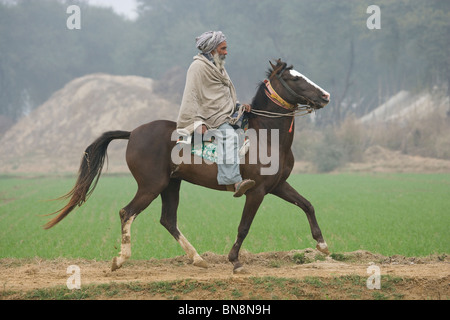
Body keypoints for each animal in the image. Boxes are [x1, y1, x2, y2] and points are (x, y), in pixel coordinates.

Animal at [44, 58, 330, 272]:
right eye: (295, 78)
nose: (325, 95)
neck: (266, 135)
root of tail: (133, 132)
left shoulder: (278, 185)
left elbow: (307, 205)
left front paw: (323, 245)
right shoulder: (256, 190)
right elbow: (244, 226)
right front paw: (235, 260)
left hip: (171, 184)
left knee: (168, 220)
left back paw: (197, 258)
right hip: (152, 185)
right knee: (127, 212)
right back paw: (121, 259)